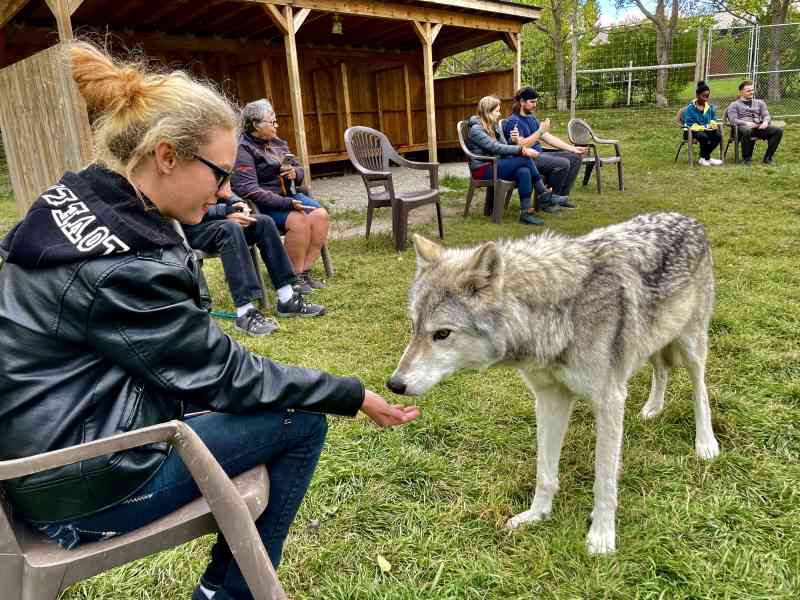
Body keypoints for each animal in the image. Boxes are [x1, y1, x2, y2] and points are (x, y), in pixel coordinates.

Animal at [387, 212, 720, 555]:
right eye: (414, 327)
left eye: (442, 334)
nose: (394, 384)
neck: (559, 315)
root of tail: (688, 219)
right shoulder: (550, 397)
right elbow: (544, 472)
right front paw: (537, 515)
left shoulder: (610, 401)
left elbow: (604, 481)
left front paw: (602, 537)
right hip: (652, 342)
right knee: (661, 370)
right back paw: (653, 408)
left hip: (691, 346)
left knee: (700, 391)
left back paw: (706, 443)